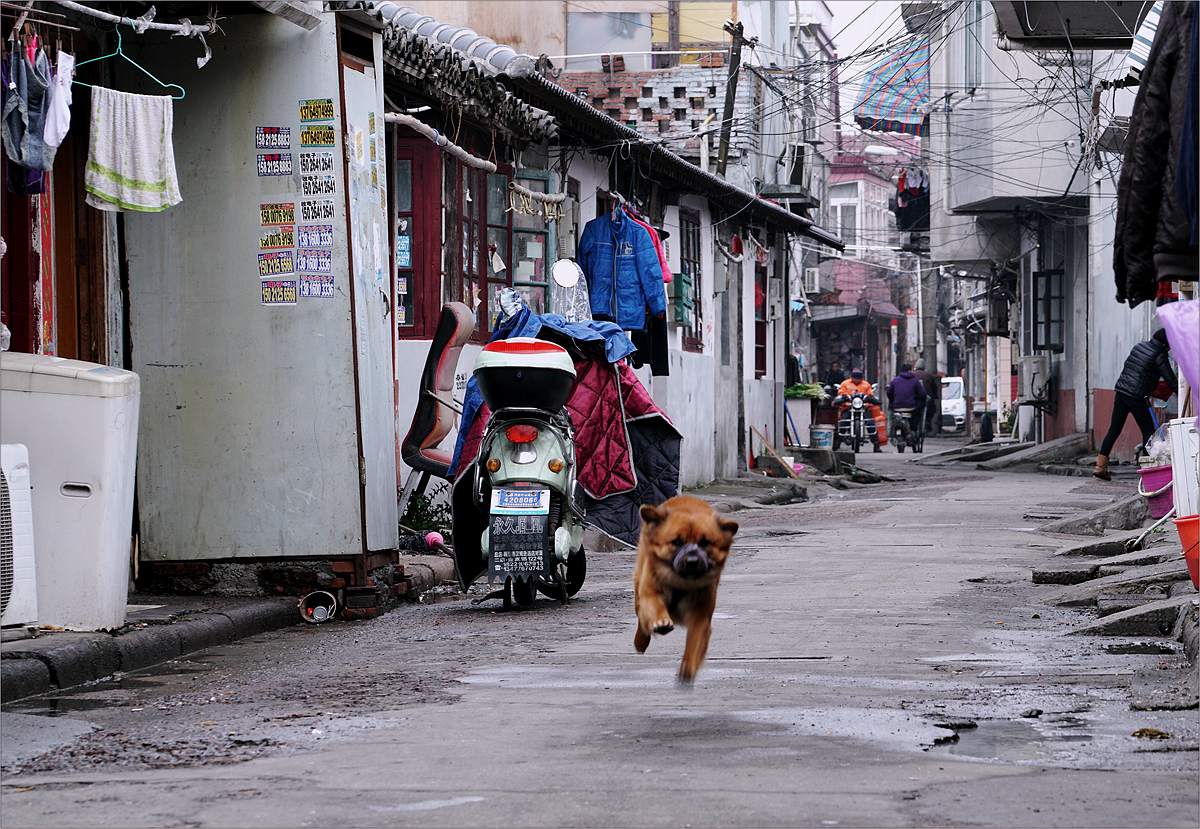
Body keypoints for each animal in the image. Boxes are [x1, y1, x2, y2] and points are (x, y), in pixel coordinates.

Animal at [633, 496, 734, 686]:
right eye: (677, 542)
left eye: (704, 543)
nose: (692, 561)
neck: (681, 583)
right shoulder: (650, 593)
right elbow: (654, 609)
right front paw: (661, 623)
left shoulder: (700, 614)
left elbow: (695, 641)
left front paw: (688, 666)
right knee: (641, 620)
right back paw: (641, 641)